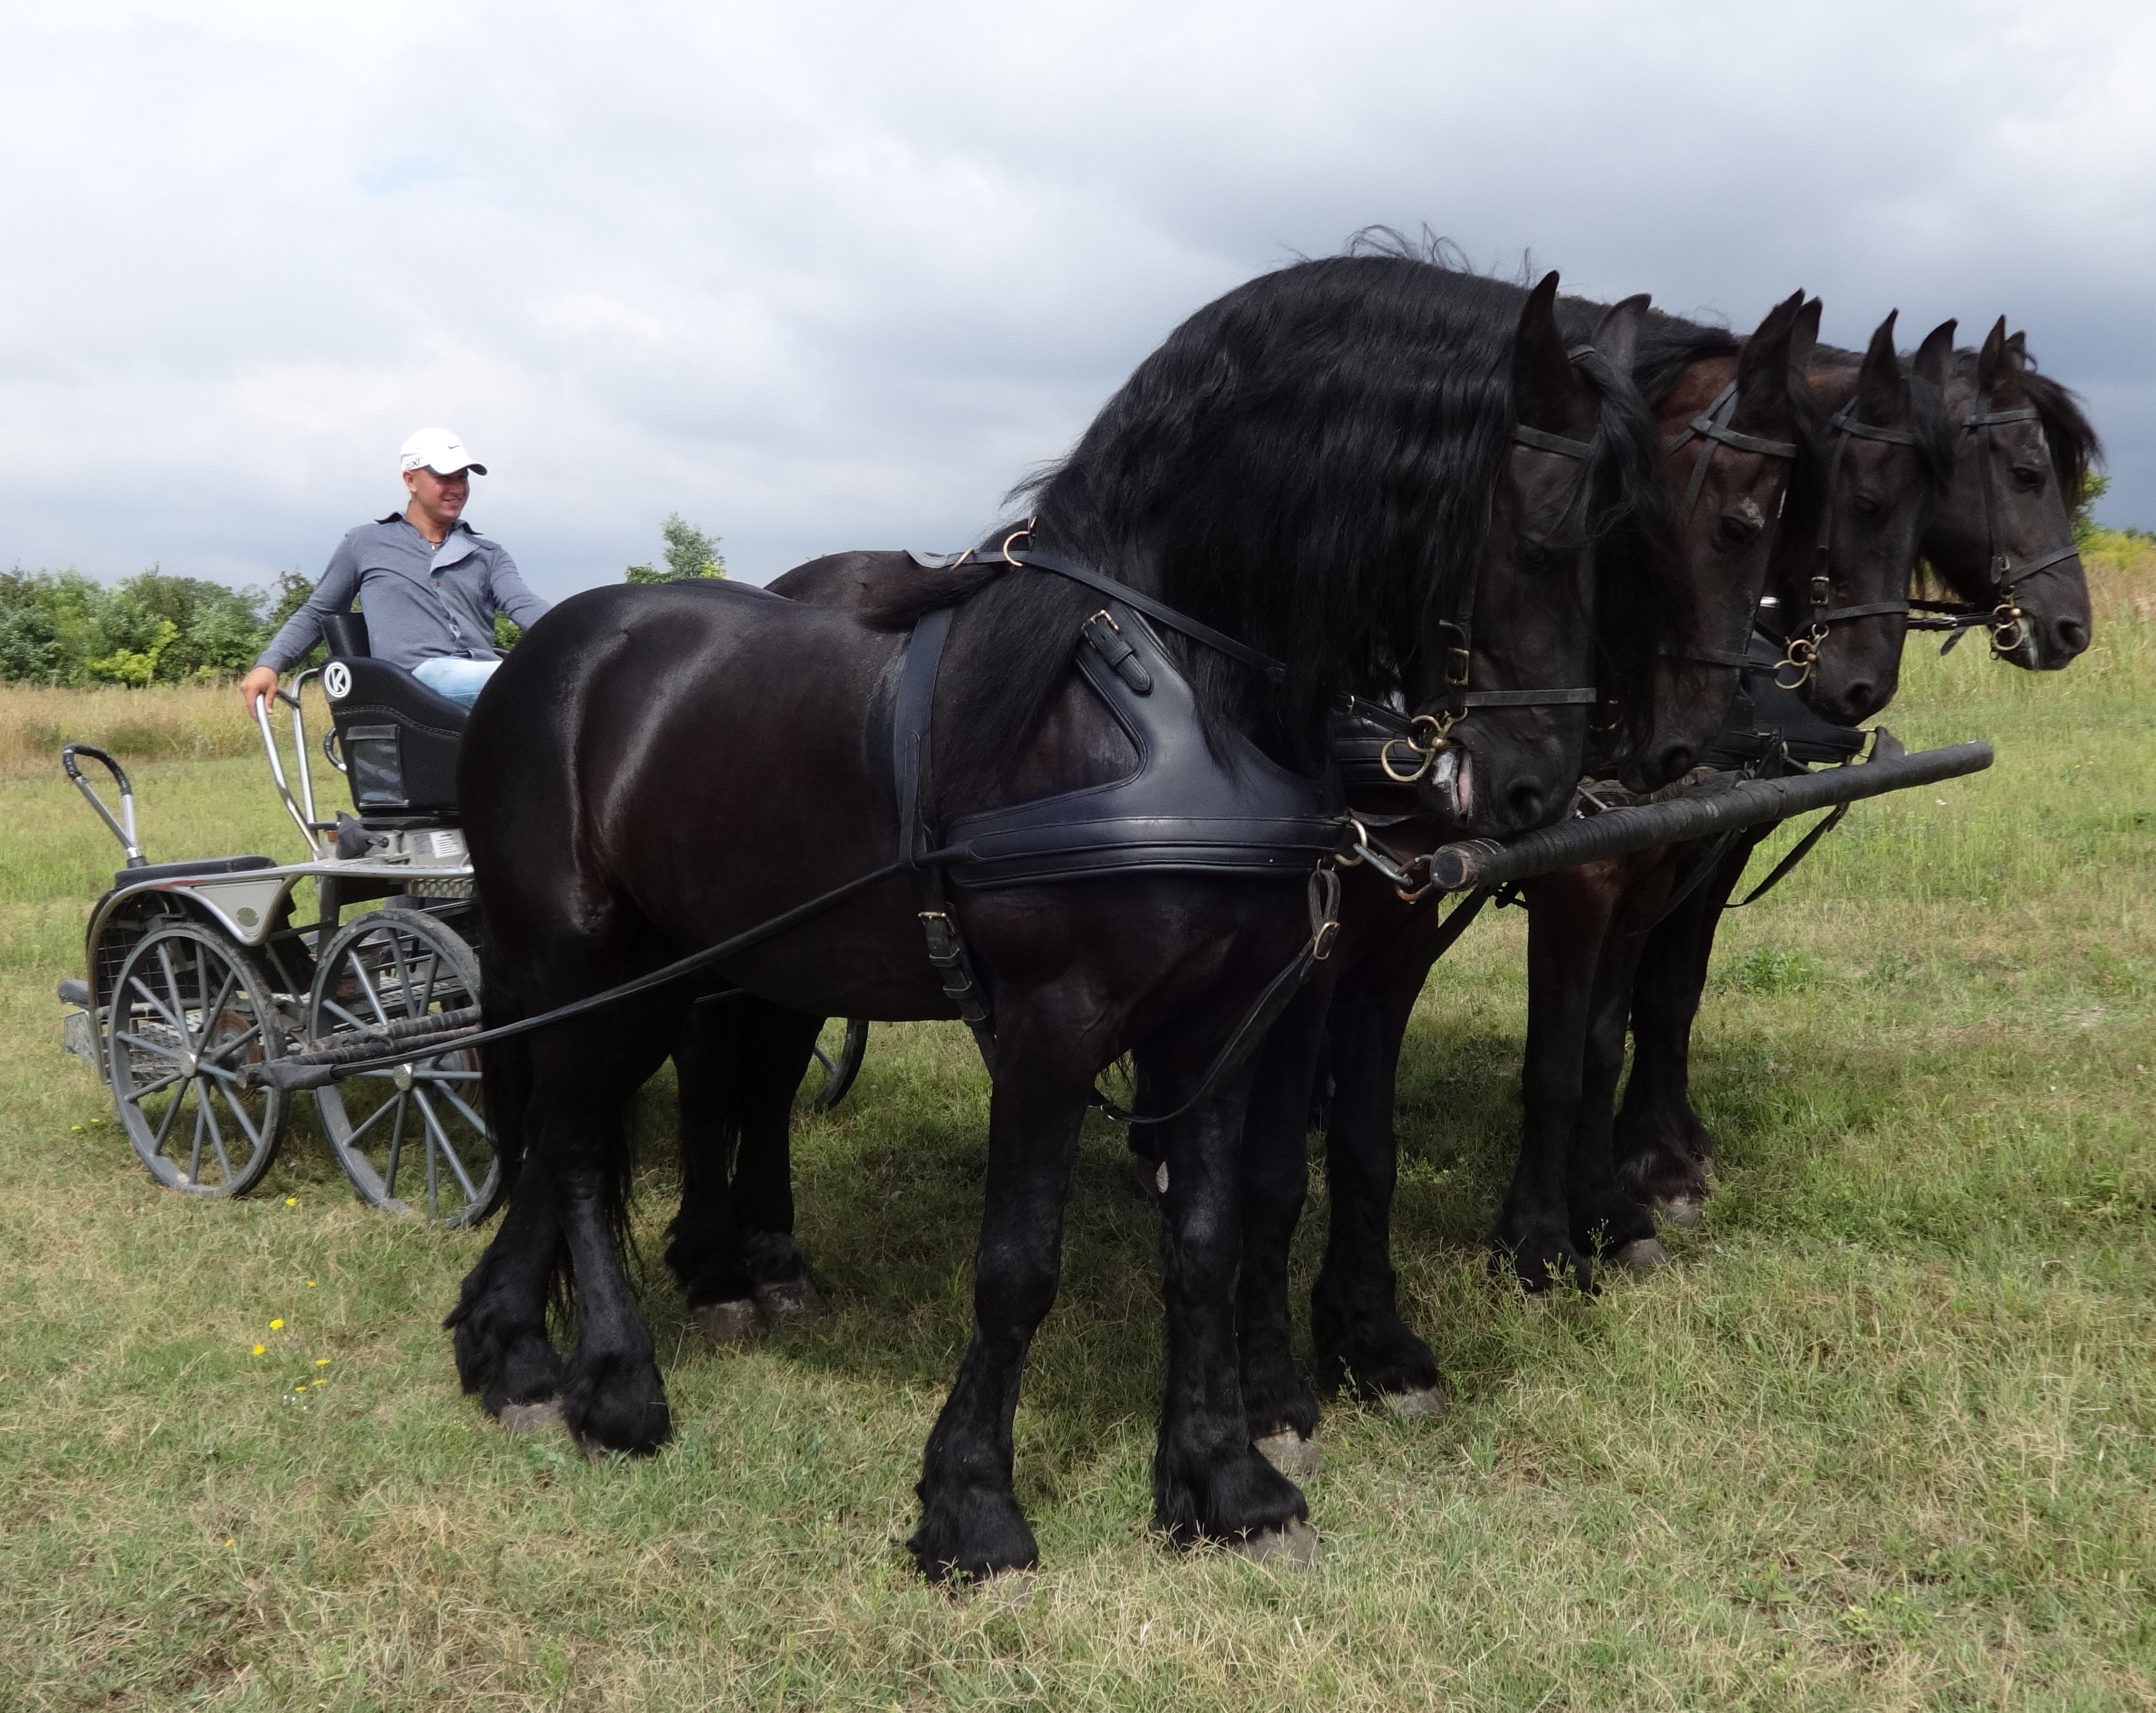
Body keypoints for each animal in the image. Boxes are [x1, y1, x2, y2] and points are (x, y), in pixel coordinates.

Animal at [446, 254, 1673, 1577]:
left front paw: (1223, 1483)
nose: (1536, 790)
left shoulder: (1219, 1020)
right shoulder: (1051, 1026)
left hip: (672, 968)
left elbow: (1205, 1240)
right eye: (1541, 533)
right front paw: (971, 1505)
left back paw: (515, 1355)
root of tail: (544, 653)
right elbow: (1016, 1267)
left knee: (574, 1131)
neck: (1170, 692)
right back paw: (617, 1386)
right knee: (575, 1146)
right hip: (577, 959)